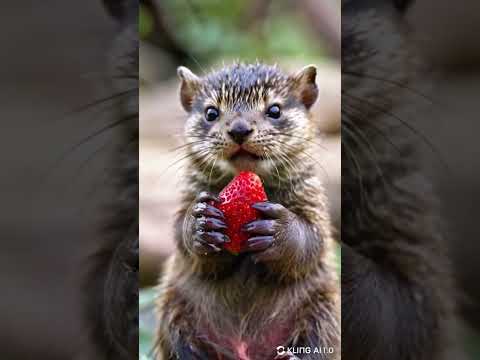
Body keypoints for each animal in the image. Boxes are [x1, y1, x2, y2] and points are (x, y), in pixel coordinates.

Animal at [156, 63, 340, 358]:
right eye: (211, 112)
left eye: (274, 110)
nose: (240, 129)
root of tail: (244, 350)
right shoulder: (187, 199)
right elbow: (181, 238)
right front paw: (202, 224)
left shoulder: (313, 204)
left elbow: (312, 241)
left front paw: (277, 231)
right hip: (172, 306)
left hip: (324, 310)